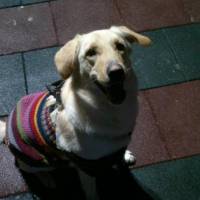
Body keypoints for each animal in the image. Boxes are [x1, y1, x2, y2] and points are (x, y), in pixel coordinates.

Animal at [0, 26, 150, 175]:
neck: (112, 111)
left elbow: (119, 154)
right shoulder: (85, 165)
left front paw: (125, 156)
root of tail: (6, 129)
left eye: (120, 46)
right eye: (91, 53)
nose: (117, 72)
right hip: (39, 161)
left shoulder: (120, 144)